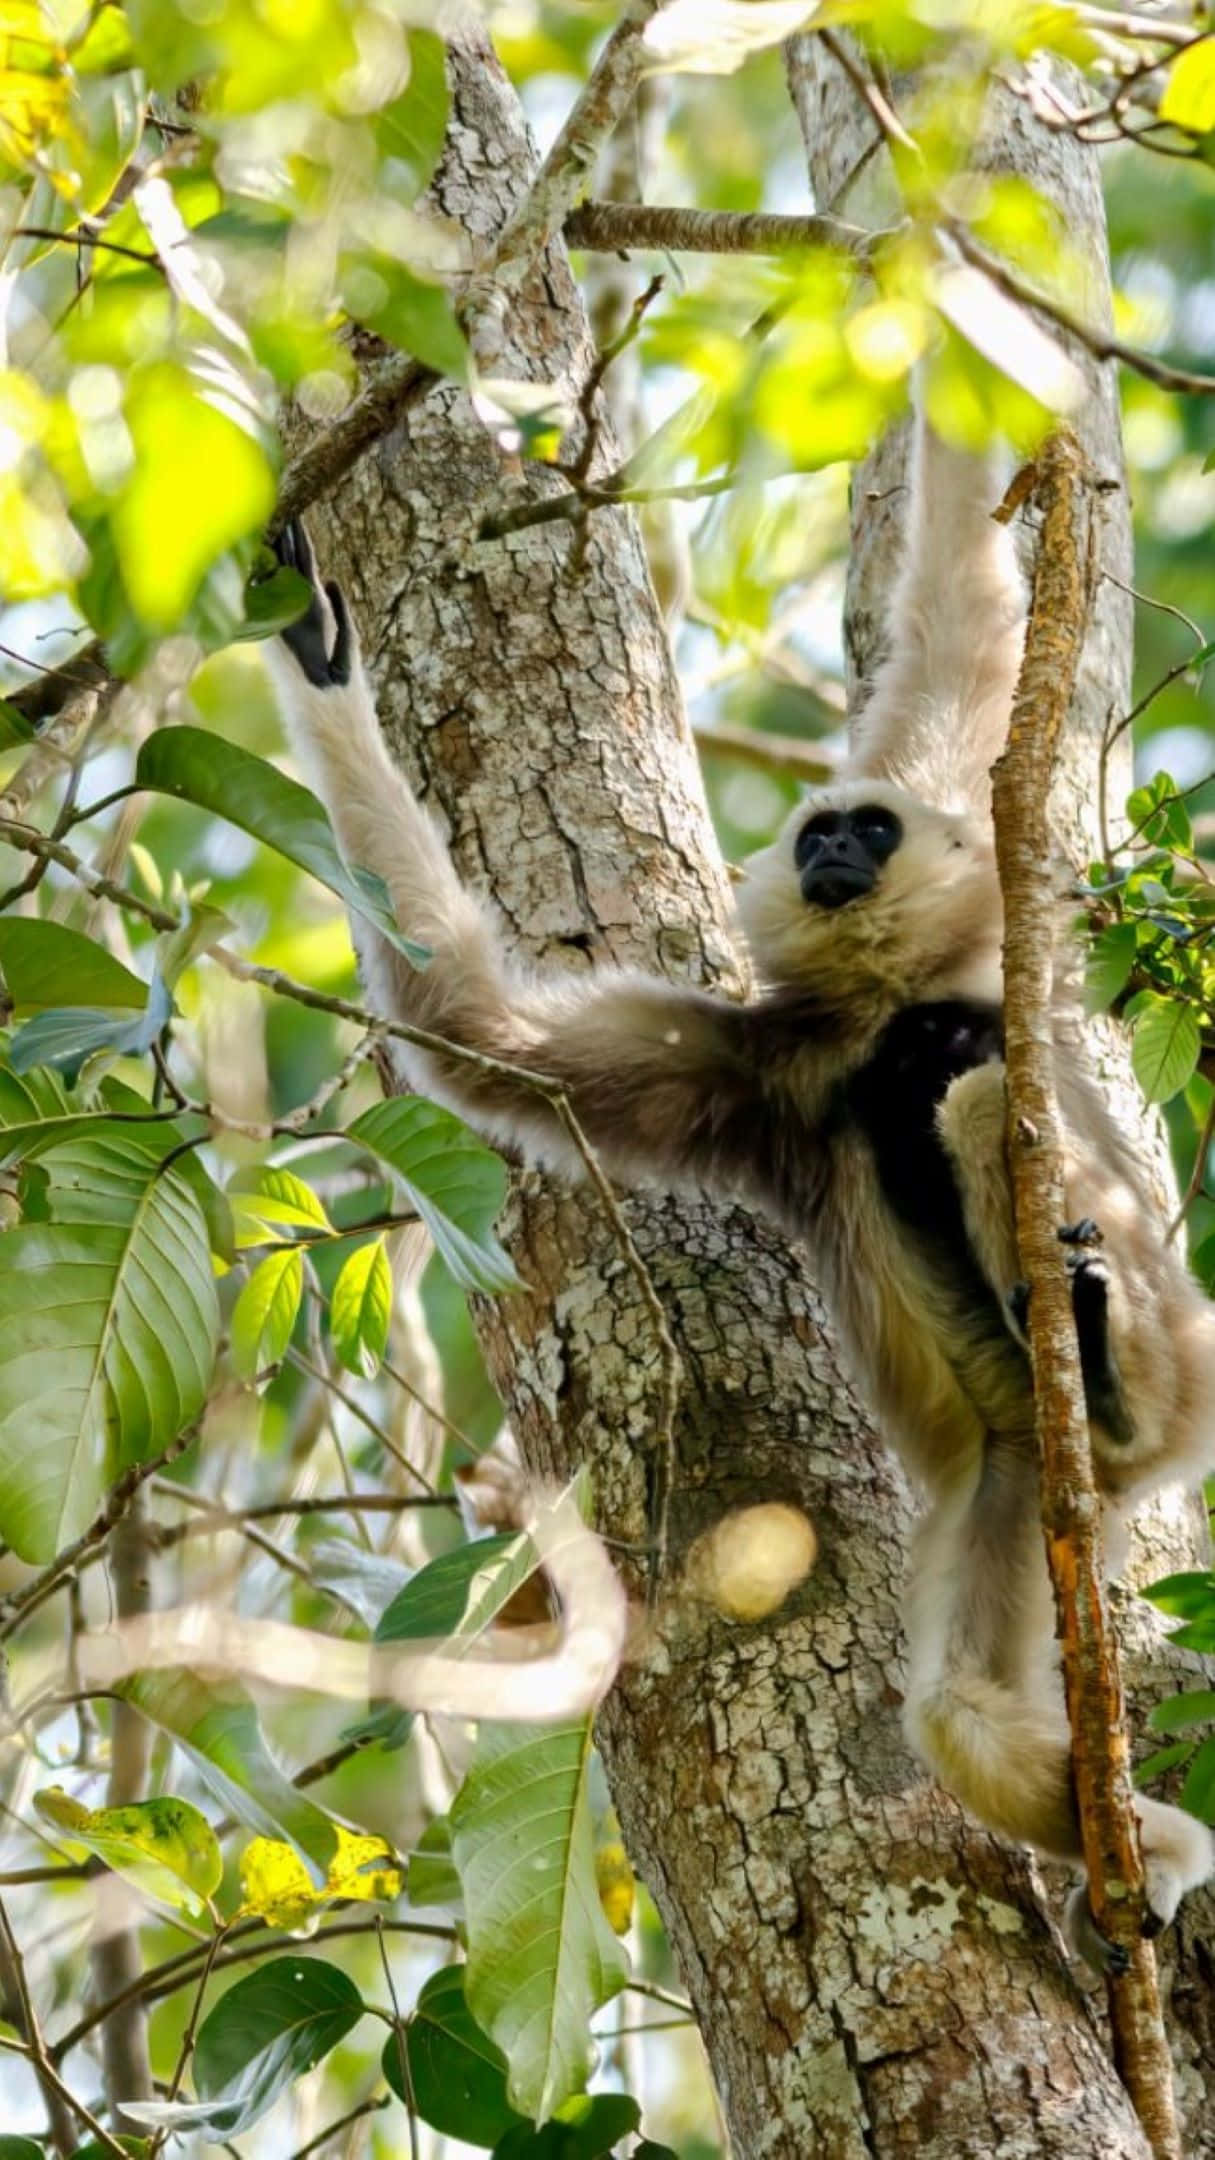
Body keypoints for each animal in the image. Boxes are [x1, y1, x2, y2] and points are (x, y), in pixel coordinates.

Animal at [265, 414, 1215, 1969]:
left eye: (866, 830)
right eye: (823, 831)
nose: (824, 847)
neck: (883, 1011)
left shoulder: (975, 915)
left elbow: (962, 629)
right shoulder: (757, 1069)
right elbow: (477, 1028)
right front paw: (314, 651)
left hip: (1185, 1352)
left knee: (975, 1100)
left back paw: (1095, 1343)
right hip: (1018, 1483)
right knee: (960, 1710)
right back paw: (1146, 1845)